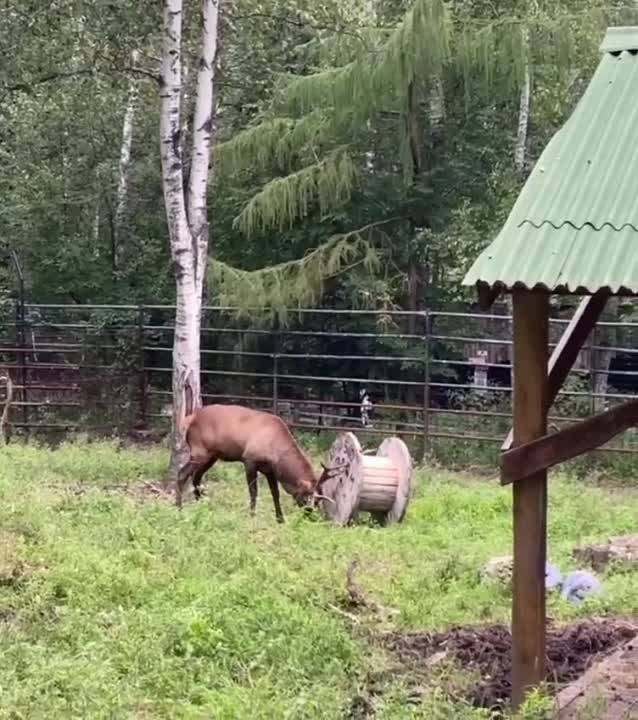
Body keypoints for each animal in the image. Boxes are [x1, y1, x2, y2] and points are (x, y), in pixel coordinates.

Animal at [175, 404, 342, 524]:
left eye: (318, 501)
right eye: (308, 499)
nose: (311, 517)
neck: (277, 454)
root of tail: (189, 419)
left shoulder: (270, 470)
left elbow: (275, 493)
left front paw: (280, 519)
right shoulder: (249, 460)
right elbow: (253, 491)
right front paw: (252, 516)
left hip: (212, 456)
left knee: (196, 478)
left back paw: (203, 506)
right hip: (199, 451)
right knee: (182, 474)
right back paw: (179, 508)